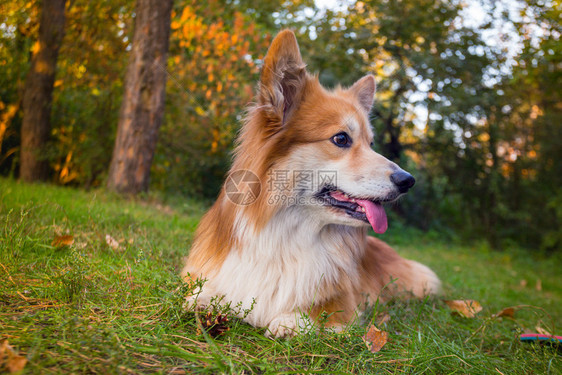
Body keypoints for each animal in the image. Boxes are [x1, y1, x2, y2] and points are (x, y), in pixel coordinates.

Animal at [182, 30, 440, 340]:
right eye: (341, 139)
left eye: (371, 144)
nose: (407, 181)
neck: (285, 235)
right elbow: (200, 294)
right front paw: (204, 299)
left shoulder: (344, 302)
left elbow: (316, 314)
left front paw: (290, 321)